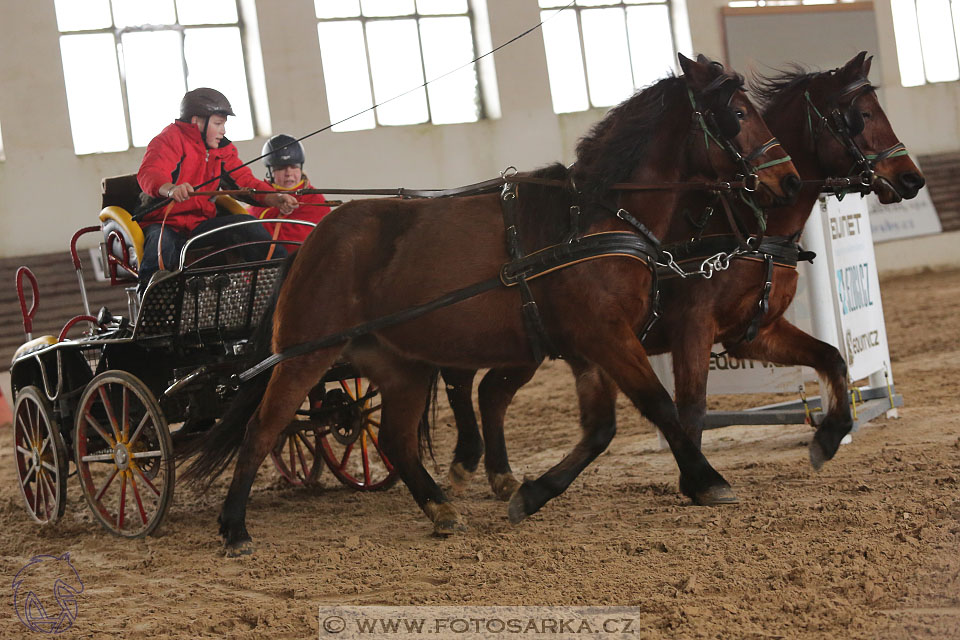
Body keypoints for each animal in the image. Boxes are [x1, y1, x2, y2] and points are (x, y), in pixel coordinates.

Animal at [184, 53, 800, 556]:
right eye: (738, 113)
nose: (790, 180)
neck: (595, 217)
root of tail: (309, 241)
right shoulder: (605, 336)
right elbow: (660, 405)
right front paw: (707, 480)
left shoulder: (592, 345)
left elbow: (599, 429)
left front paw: (531, 493)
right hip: (304, 356)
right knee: (264, 428)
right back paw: (234, 528)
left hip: (402, 365)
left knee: (396, 439)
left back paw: (440, 509)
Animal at [440, 51, 924, 500]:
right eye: (862, 116)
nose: (912, 179)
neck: (746, 225)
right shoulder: (693, 326)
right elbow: (690, 406)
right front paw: (696, 477)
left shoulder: (751, 332)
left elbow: (832, 357)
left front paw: (828, 436)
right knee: (462, 381)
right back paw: (461, 467)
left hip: (531, 343)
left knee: (491, 392)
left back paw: (498, 477)